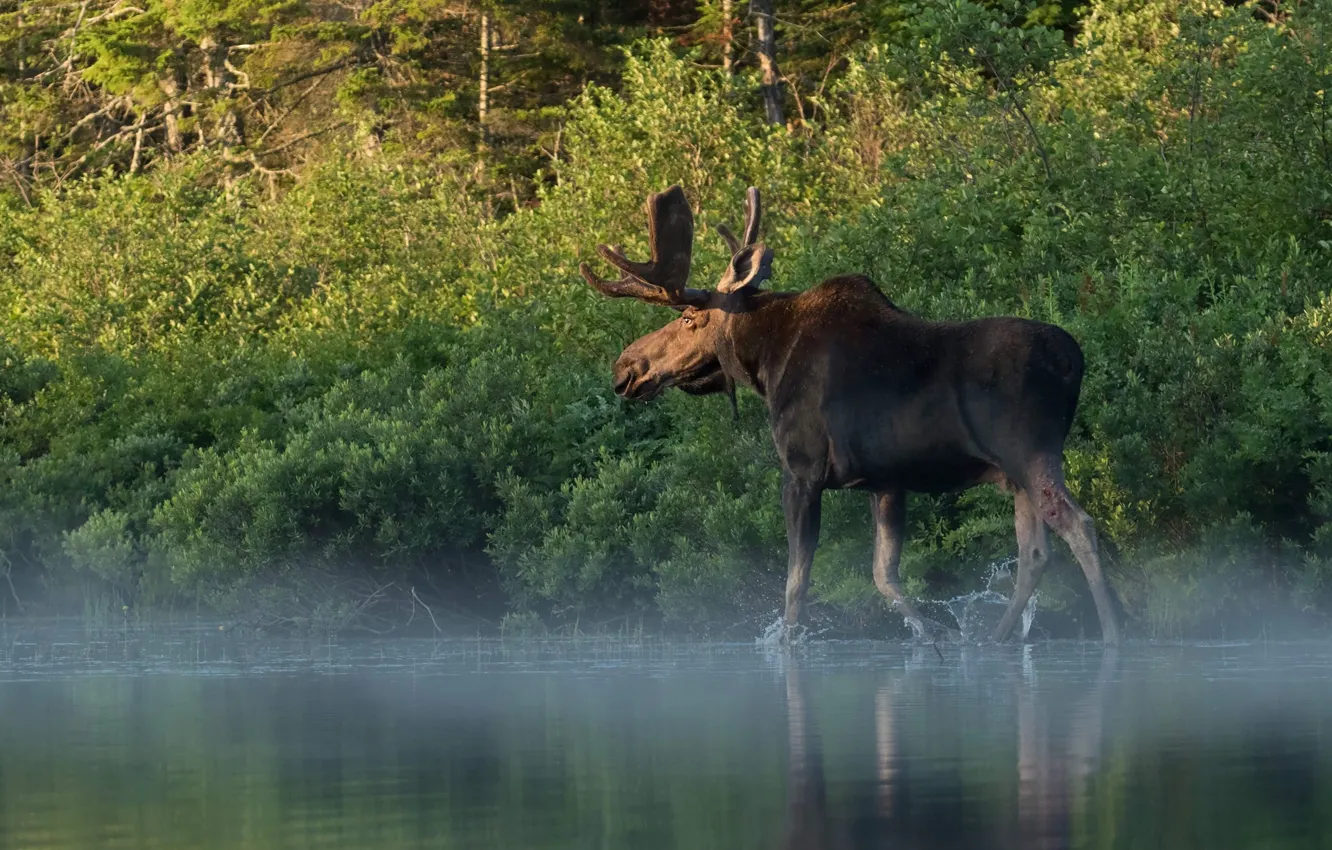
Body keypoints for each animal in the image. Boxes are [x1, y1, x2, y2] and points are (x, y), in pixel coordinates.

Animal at [578, 183, 1118, 642]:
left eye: (690, 318)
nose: (626, 367)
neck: (765, 362)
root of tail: (1075, 361)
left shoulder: (802, 469)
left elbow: (796, 584)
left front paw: (790, 645)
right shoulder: (886, 482)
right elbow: (884, 576)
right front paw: (933, 638)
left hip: (1029, 451)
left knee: (1079, 526)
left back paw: (1114, 633)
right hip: (1014, 474)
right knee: (1035, 552)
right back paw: (998, 639)